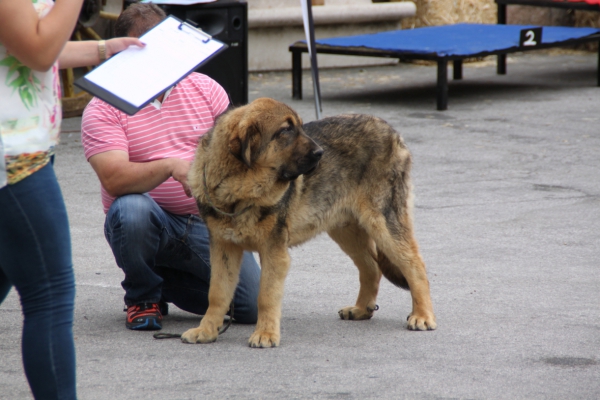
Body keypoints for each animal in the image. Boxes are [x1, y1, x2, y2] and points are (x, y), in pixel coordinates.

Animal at [180, 97, 434, 346]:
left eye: (300, 127)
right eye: (285, 130)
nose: (321, 153)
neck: (239, 190)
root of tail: (391, 131)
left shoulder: (274, 252)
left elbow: (266, 296)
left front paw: (265, 334)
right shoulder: (223, 248)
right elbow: (217, 293)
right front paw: (206, 330)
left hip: (383, 223)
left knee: (414, 265)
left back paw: (422, 315)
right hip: (346, 231)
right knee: (371, 267)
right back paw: (362, 309)